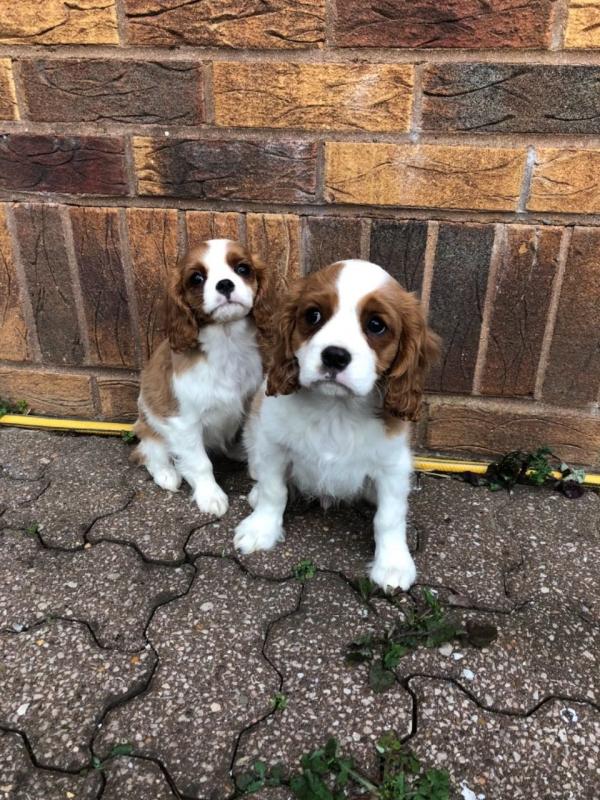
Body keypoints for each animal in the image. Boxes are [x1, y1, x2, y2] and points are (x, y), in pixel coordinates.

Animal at [134, 238, 264, 516]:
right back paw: (167, 474)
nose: (225, 284)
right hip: (149, 425)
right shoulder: (183, 421)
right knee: (150, 452)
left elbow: (257, 442)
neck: (226, 341)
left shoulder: (251, 404)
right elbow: (200, 463)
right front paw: (210, 495)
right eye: (196, 278)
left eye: (243, 269)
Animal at [233, 260, 436, 592]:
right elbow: (274, 491)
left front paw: (393, 564)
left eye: (376, 325)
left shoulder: (392, 466)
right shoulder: (273, 447)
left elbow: (390, 517)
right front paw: (261, 529)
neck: (335, 408)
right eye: (313, 316)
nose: (335, 356)